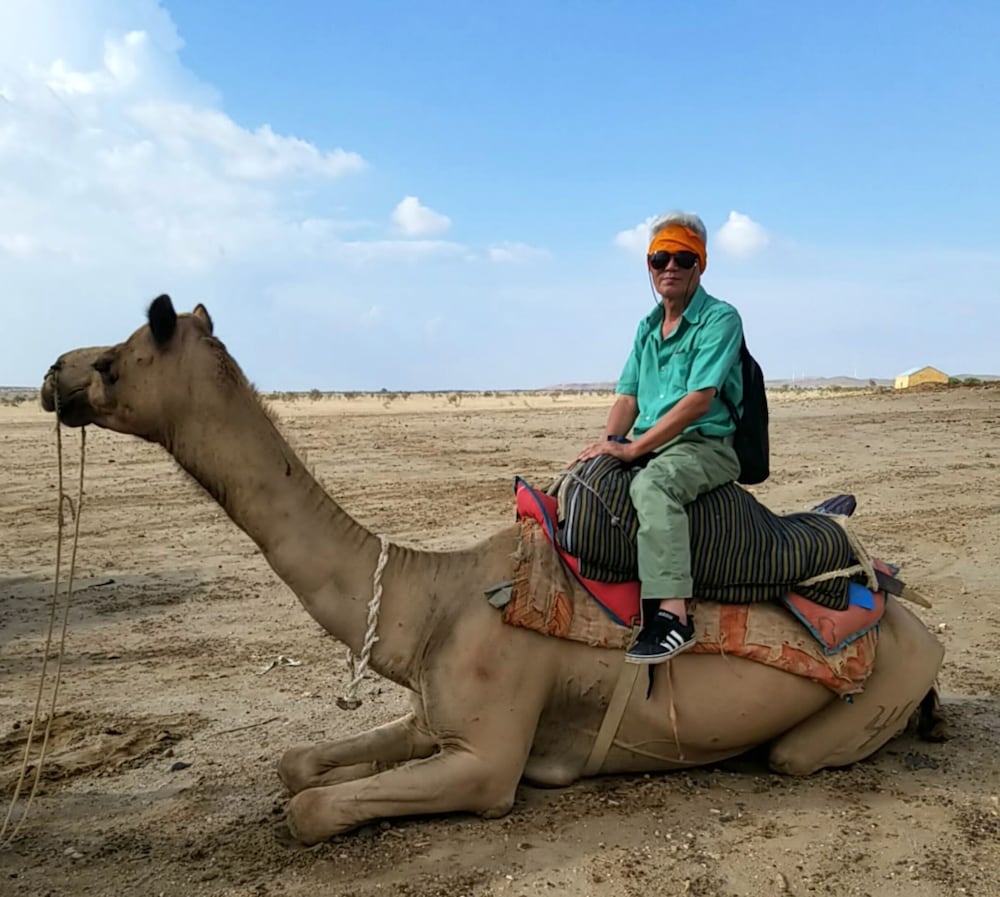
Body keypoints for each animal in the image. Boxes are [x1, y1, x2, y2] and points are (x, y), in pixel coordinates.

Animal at [39, 295, 946, 846]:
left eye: (116, 357)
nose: (52, 373)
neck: (430, 600)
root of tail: (918, 621)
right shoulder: (434, 717)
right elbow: (300, 764)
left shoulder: (487, 761)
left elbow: (310, 805)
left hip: (863, 701)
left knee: (796, 753)